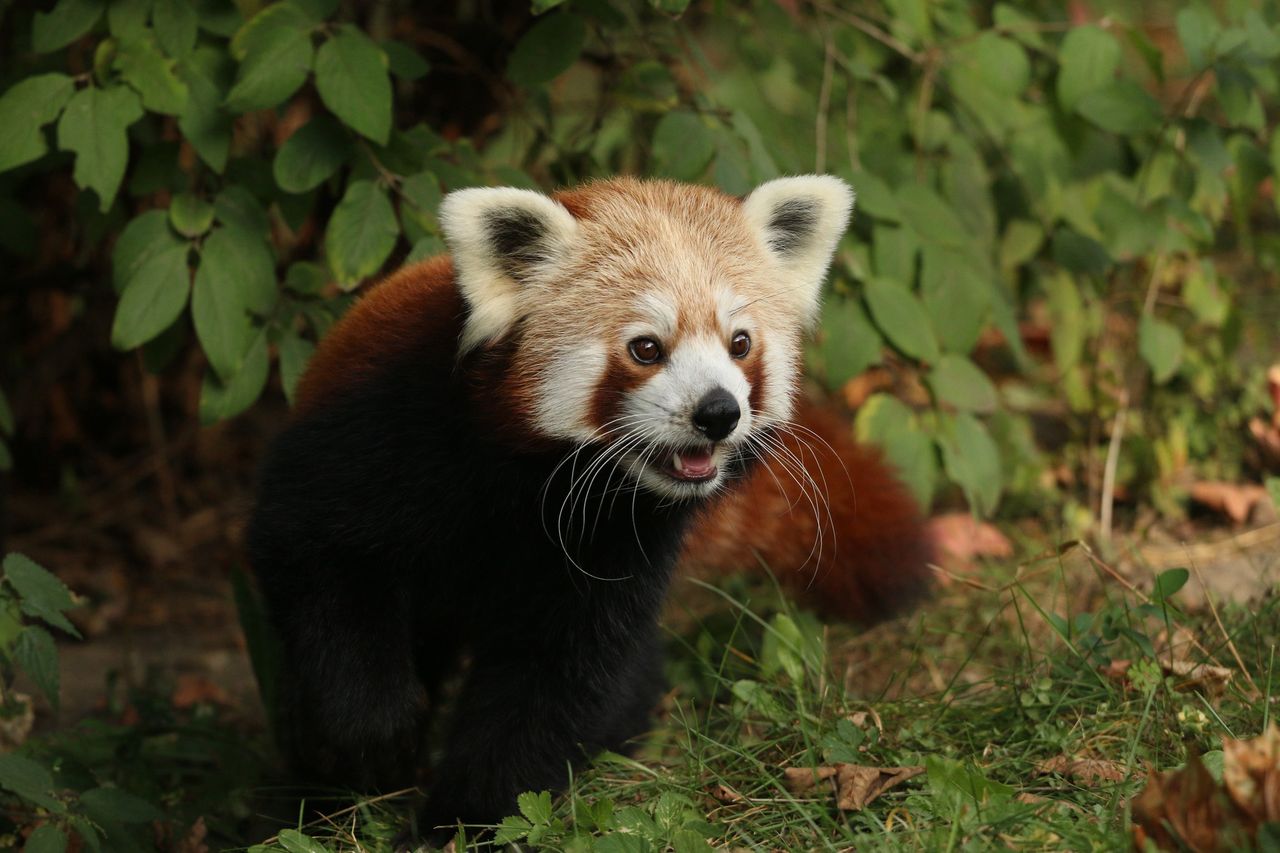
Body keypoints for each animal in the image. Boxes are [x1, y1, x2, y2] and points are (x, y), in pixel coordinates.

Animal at [247, 174, 931, 835]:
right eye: (647, 348)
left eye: (740, 344)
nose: (718, 412)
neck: (530, 482)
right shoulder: (380, 433)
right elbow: (317, 566)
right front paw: (372, 739)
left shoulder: (615, 546)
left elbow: (557, 679)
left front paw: (467, 822)